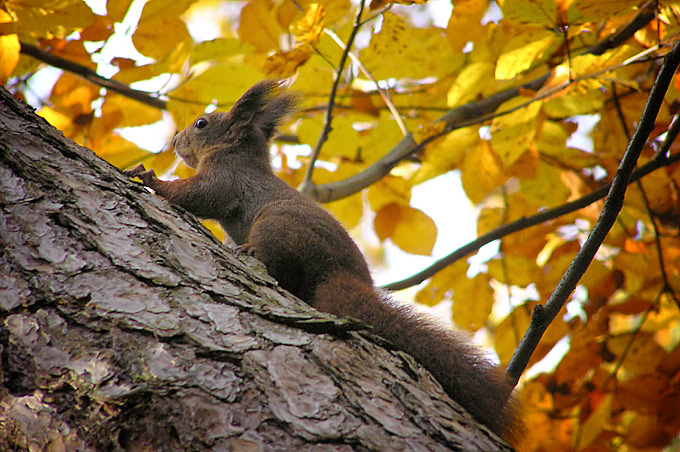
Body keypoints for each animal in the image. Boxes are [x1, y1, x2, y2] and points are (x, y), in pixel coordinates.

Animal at [126, 79, 520, 444]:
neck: (237, 150)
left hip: (277, 225)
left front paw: (151, 179)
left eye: (201, 123)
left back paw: (252, 253)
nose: (175, 141)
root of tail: (343, 276)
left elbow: (198, 196)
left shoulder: (226, 177)